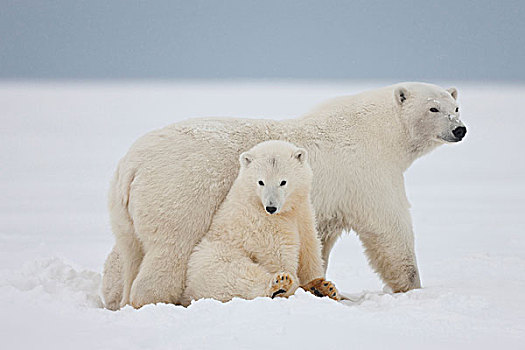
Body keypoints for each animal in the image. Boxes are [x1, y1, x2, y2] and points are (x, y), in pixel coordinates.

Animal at [102, 81, 466, 308]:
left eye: (457, 106)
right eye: (434, 109)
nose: (460, 129)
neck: (381, 131)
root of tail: (130, 165)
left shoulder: (326, 202)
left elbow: (318, 239)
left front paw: (321, 286)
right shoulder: (367, 173)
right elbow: (389, 228)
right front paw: (412, 287)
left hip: (125, 209)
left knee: (127, 251)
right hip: (181, 190)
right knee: (172, 248)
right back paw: (153, 298)